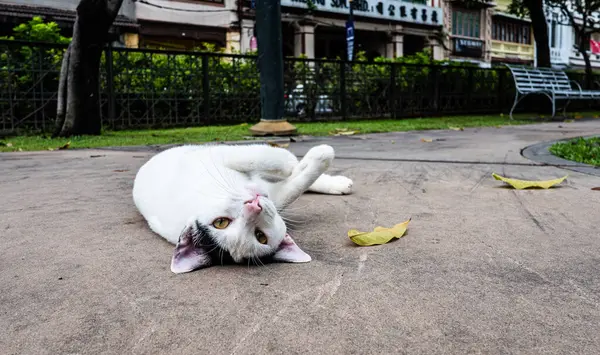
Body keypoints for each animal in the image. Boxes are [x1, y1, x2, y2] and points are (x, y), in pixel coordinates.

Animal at [132, 144, 352, 276]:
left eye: (220, 222)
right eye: (260, 236)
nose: (253, 205)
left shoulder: (222, 157)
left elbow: (267, 159)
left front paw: (299, 162)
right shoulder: (275, 197)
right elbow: (294, 181)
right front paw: (321, 155)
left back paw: (338, 182)